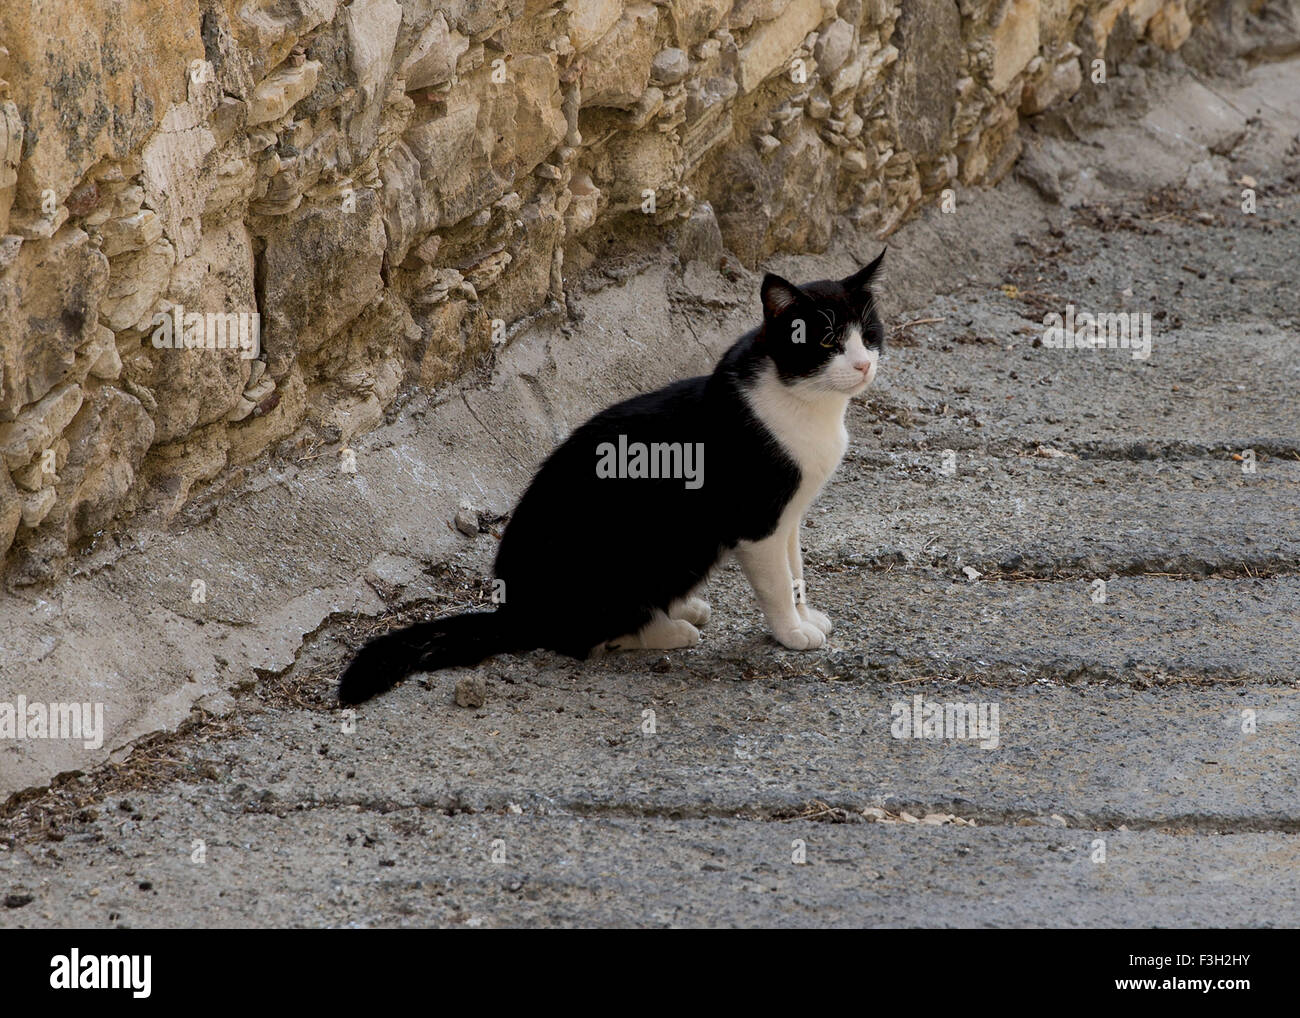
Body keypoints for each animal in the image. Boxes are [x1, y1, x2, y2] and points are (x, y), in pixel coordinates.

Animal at [335, 250, 889, 707]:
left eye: (869, 333)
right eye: (826, 340)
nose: (863, 364)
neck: (806, 407)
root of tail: (513, 610)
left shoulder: (788, 517)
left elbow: (796, 573)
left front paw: (806, 617)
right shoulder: (758, 523)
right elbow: (776, 584)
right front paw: (791, 633)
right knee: (579, 638)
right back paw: (669, 630)